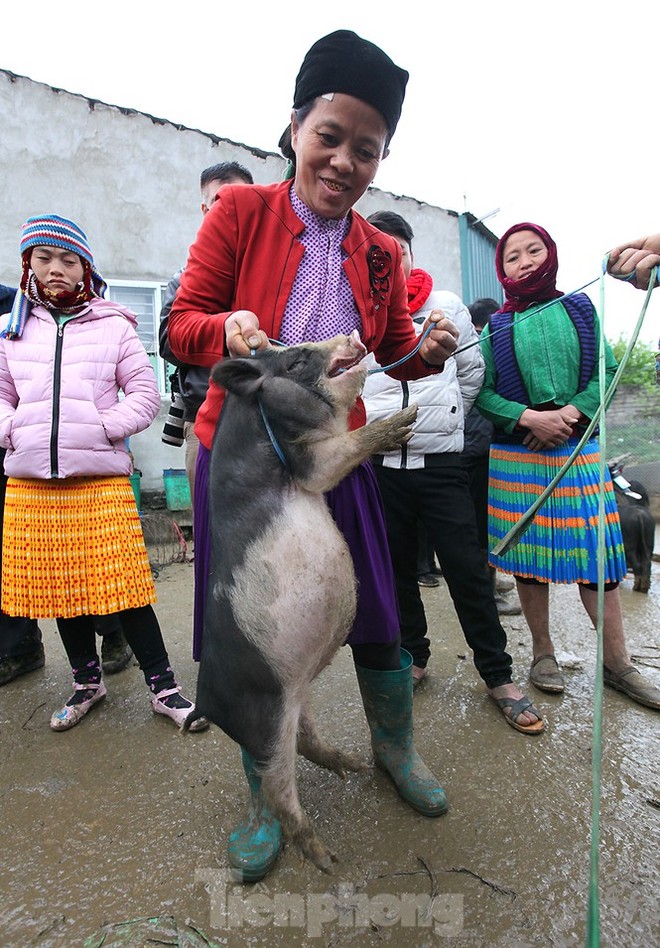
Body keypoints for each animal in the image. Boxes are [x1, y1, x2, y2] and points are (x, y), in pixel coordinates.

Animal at [187, 334, 418, 872]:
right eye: (295, 360)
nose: (351, 337)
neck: (260, 418)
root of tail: (205, 702)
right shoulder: (310, 466)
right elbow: (344, 449)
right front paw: (407, 418)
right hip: (265, 713)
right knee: (276, 785)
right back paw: (325, 857)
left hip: (293, 691)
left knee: (307, 740)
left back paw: (353, 767)